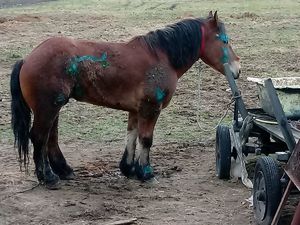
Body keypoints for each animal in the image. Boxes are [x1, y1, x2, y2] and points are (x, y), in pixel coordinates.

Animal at [10, 11, 240, 189]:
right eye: (224, 40)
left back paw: (64, 170)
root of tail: (27, 58)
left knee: (51, 138)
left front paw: (128, 169)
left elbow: (131, 136)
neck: (162, 57)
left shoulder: (136, 110)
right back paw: (48, 177)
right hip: (48, 108)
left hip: (53, 108)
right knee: (39, 137)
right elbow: (146, 139)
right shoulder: (150, 109)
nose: (237, 69)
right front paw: (146, 173)